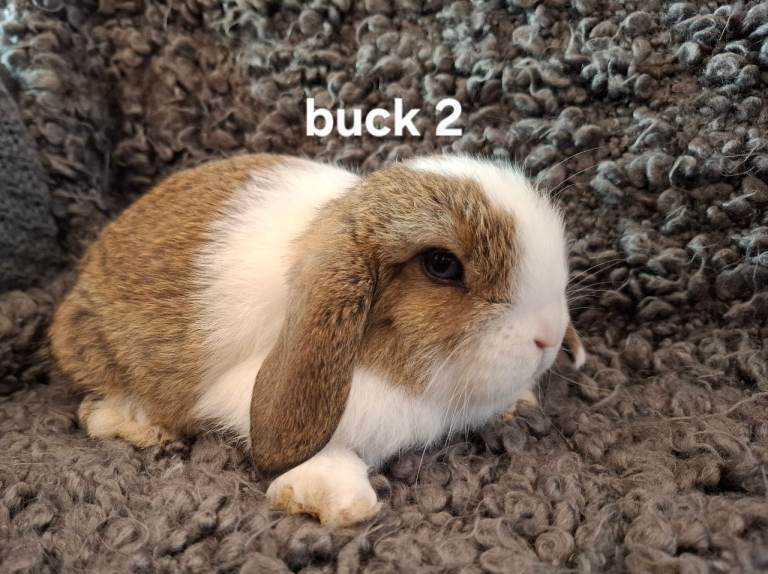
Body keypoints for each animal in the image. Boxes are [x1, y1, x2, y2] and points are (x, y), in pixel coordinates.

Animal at [50, 153, 586, 527]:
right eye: (441, 264)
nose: (549, 336)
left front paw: (519, 401)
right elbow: (324, 447)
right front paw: (339, 499)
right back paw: (137, 423)